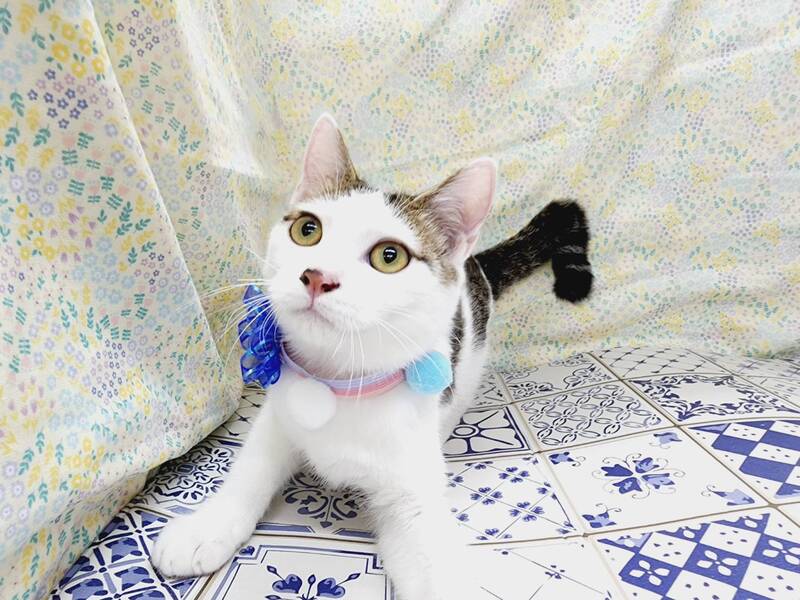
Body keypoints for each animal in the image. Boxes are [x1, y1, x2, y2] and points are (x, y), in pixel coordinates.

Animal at [151, 114, 592, 599]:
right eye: (307, 230)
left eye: (389, 256)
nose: (317, 276)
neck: (337, 382)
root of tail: (473, 264)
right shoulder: (277, 417)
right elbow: (251, 466)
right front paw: (207, 527)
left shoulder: (411, 491)